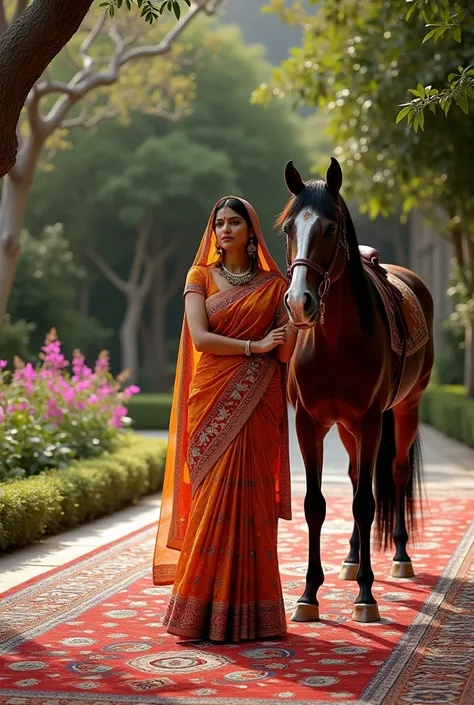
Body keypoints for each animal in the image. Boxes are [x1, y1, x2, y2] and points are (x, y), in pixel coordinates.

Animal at [282, 158, 434, 620]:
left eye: (330, 228)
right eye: (288, 229)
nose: (299, 302)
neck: (334, 342)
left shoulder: (370, 420)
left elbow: (367, 504)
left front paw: (366, 596)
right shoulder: (308, 423)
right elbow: (316, 505)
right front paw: (308, 595)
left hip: (405, 408)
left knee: (396, 473)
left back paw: (400, 557)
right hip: (347, 427)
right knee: (352, 477)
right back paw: (350, 558)